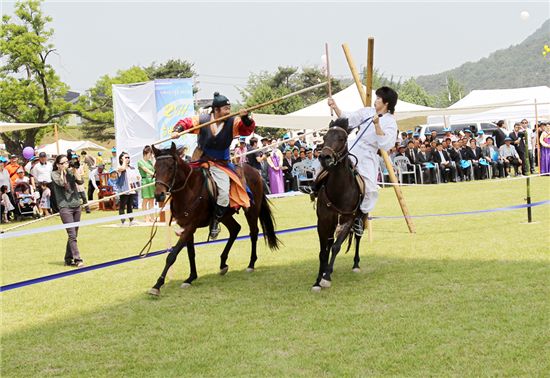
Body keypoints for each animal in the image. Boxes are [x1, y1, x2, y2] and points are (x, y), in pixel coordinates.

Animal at [148, 142, 280, 296]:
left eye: (170, 167)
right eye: (156, 167)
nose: (159, 195)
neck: (189, 189)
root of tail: (254, 171)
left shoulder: (191, 226)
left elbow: (172, 255)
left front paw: (157, 285)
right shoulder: (186, 227)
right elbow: (191, 253)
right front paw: (191, 277)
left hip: (251, 210)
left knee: (253, 233)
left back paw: (251, 264)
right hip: (224, 215)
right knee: (235, 229)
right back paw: (223, 264)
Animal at [312, 119, 364, 292]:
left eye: (342, 138)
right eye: (325, 137)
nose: (324, 157)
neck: (339, 190)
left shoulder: (348, 220)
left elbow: (336, 246)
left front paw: (326, 278)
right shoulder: (323, 221)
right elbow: (323, 251)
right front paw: (318, 280)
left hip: (361, 217)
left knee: (358, 237)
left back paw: (356, 265)